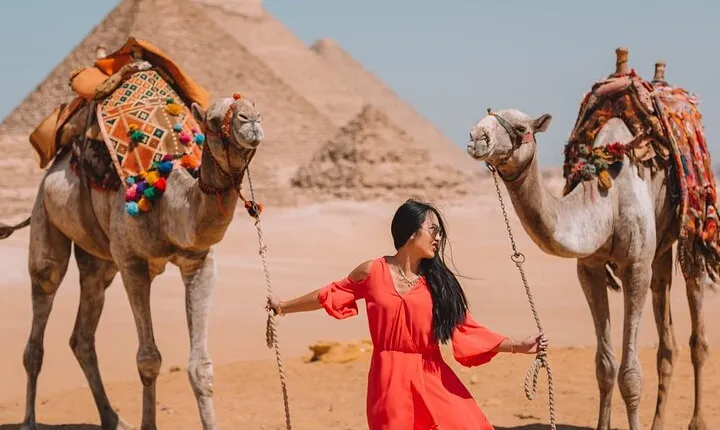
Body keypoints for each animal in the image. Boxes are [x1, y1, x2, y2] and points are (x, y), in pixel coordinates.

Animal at [0, 58, 264, 429]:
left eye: (256, 109)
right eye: (212, 121)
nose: (250, 120)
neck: (169, 200)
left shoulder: (199, 262)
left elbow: (201, 367)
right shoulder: (132, 264)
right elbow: (148, 359)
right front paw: (147, 423)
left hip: (99, 263)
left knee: (83, 335)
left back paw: (112, 418)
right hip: (45, 217)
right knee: (40, 315)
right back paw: (29, 421)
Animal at [466, 48, 713, 430]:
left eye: (521, 128)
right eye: (486, 116)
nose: (477, 136)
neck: (605, 196)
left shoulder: (634, 268)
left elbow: (630, 374)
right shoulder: (590, 269)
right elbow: (605, 366)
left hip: (694, 229)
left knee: (697, 332)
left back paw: (696, 421)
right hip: (660, 249)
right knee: (666, 338)